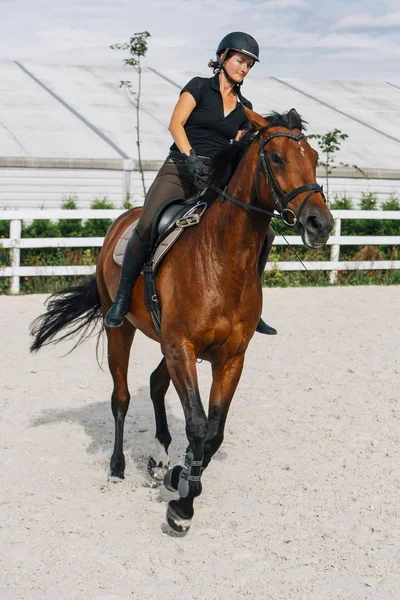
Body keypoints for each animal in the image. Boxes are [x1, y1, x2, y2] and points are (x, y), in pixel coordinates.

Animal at [30, 108, 334, 536]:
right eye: (276, 158)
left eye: (315, 157)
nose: (319, 223)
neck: (222, 258)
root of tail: (122, 221)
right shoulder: (182, 348)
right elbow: (197, 425)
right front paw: (182, 507)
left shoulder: (229, 358)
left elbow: (213, 432)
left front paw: (181, 476)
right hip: (122, 331)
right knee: (121, 397)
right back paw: (117, 468)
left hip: (167, 344)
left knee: (156, 385)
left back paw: (160, 460)